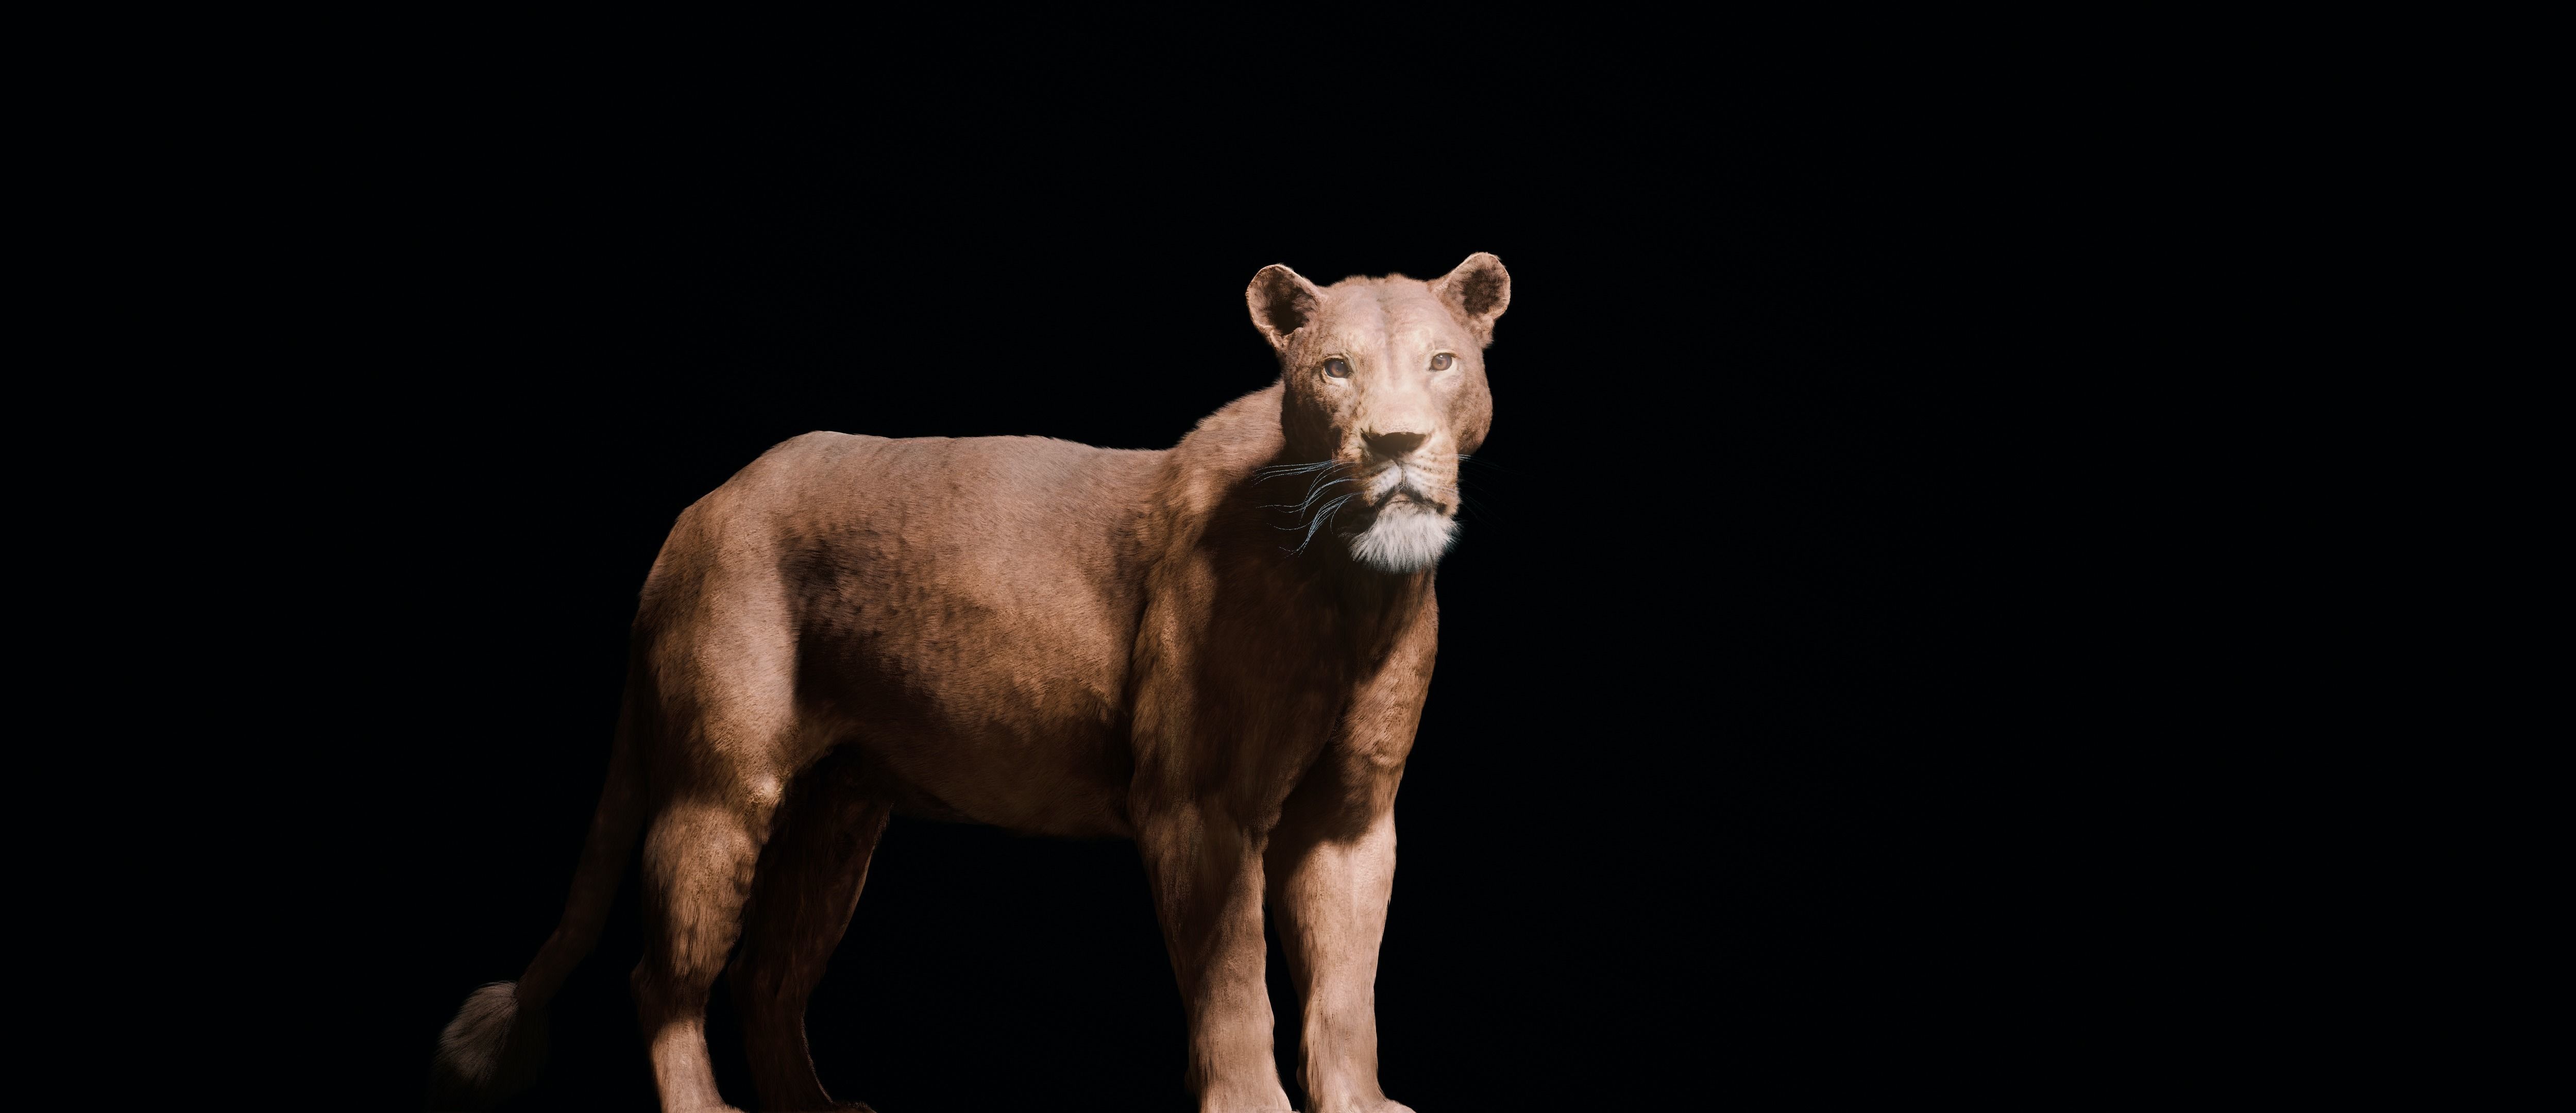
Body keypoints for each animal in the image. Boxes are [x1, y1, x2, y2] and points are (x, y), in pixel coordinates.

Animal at [429, 254, 1510, 1112]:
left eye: (1442, 363)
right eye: (1336, 369)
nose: (1397, 443)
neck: (1356, 588)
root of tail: (699, 511)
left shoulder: (1351, 815)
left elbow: (1346, 989)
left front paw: (1362, 1105)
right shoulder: (1199, 806)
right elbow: (1235, 983)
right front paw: (1252, 1109)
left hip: (838, 813)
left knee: (769, 975)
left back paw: (820, 1111)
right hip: (721, 790)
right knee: (664, 977)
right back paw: (708, 1112)